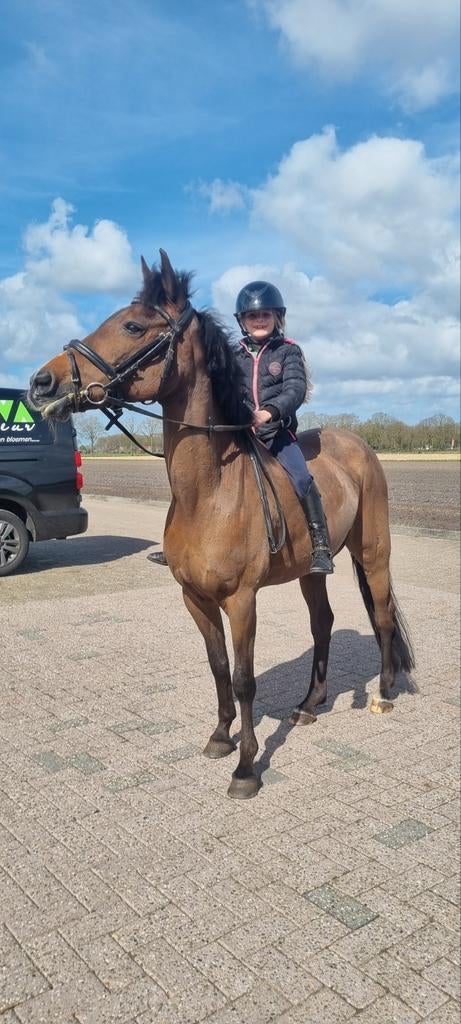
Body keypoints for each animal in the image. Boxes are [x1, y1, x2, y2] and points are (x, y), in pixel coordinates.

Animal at [28, 249, 414, 799]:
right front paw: (219, 737)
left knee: (381, 616)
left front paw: (247, 768)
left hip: (374, 554)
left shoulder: (241, 600)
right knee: (323, 623)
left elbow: (244, 678)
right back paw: (308, 705)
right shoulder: (195, 598)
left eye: (132, 325)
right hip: (311, 572)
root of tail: (359, 444)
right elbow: (217, 668)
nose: (42, 384)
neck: (208, 493)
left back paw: (383, 693)